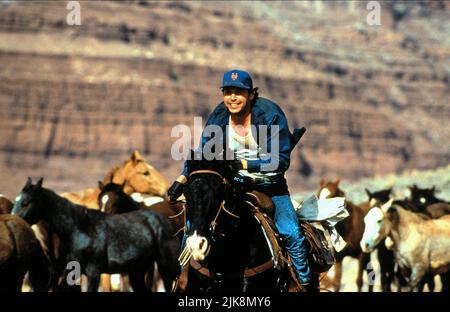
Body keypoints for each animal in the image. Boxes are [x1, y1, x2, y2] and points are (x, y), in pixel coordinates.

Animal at [11, 178, 179, 292]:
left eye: (27, 202)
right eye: (17, 200)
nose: (13, 220)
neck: (81, 228)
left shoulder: (94, 272)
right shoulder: (73, 270)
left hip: (164, 267)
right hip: (136, 271)